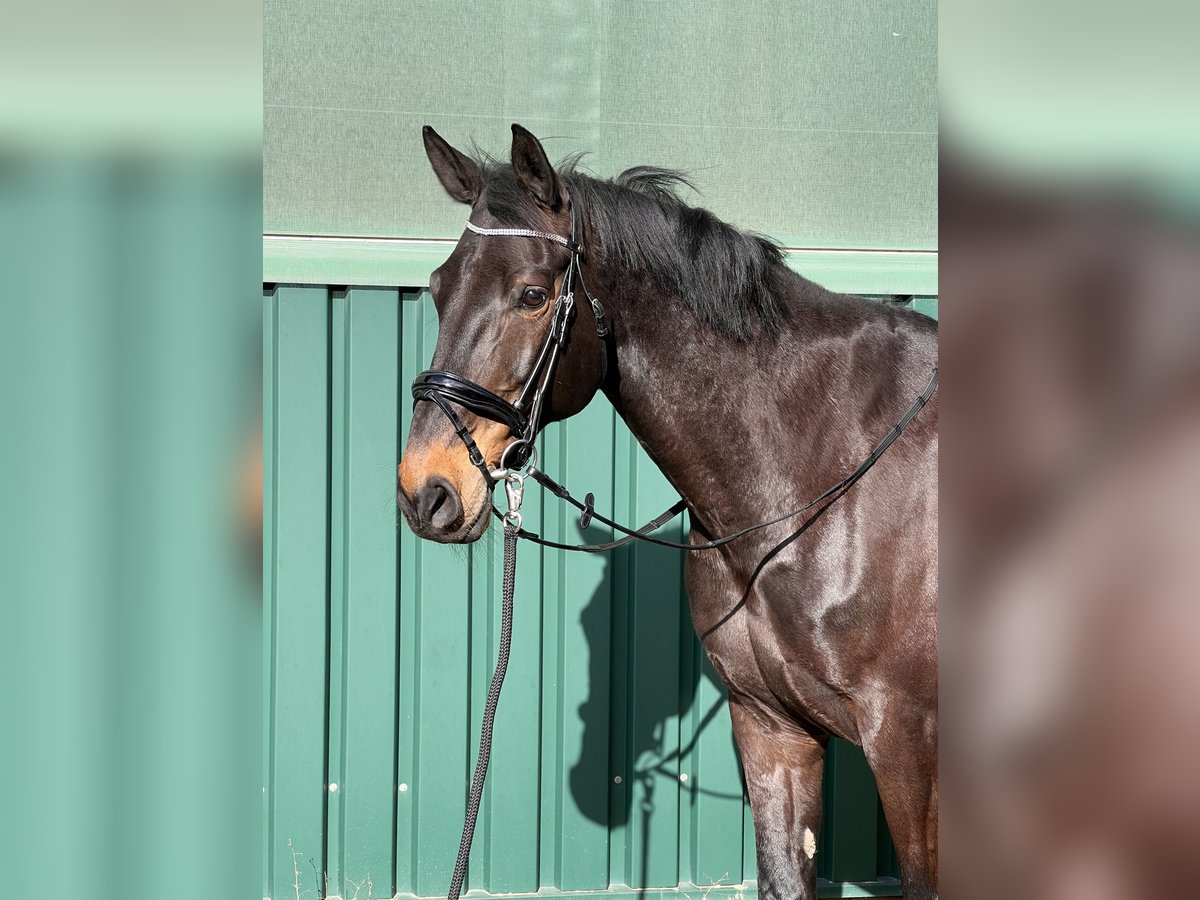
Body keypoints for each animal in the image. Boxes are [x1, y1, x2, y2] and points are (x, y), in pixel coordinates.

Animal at [398, 123, 940, 897]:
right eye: (439, 290)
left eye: (532, 294)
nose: (427, 490)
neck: (819, 470)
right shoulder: (772, 729)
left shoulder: (907, 749)